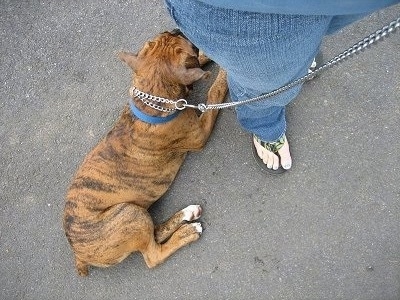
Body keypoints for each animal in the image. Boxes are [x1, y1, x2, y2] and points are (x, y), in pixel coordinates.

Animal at [62, 31, 227, 276]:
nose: (177, 30)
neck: (152, 98)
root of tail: (78, 255)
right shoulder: (200, 134)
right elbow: (213, 93)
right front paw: (225, 76)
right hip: (129, 215)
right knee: (153, 255)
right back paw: (186, 233)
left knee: (155, 232)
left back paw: (187, 215)